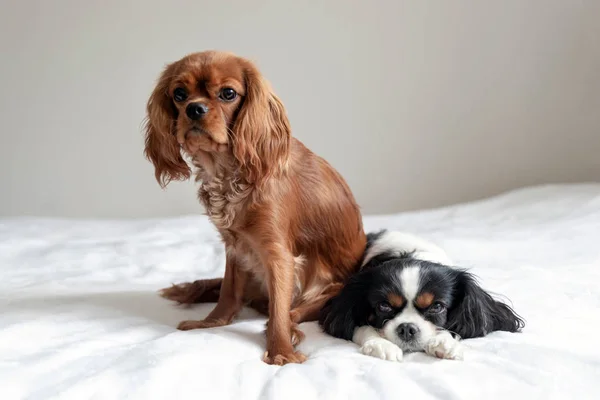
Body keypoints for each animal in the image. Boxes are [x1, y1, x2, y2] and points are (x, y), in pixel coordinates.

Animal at [145, 50, 366, 366]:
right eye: (179, 94)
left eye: (228, 93)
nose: (195, 109)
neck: (228, 172)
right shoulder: (235, 247)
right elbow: (227, 292)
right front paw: (211, 322)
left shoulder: (278, 255)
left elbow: (279, 312)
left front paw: (281, 351)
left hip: (330, 290)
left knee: (291, 312)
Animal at [318, 230, 524, 360]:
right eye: (384, 306)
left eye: (437, 307)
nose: (407, 328)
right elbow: (361, 327)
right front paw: (380, 345)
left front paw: (444, 343)